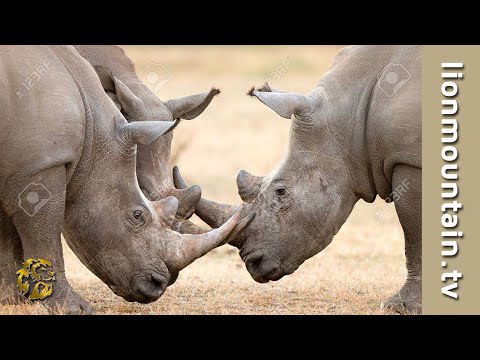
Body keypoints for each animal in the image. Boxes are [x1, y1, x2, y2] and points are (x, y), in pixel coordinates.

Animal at [175, 45, 420, 314]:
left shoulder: (409, 161)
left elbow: (413, 235)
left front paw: (401, 306)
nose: (252, 263)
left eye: (280, 192)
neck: (351, 113)